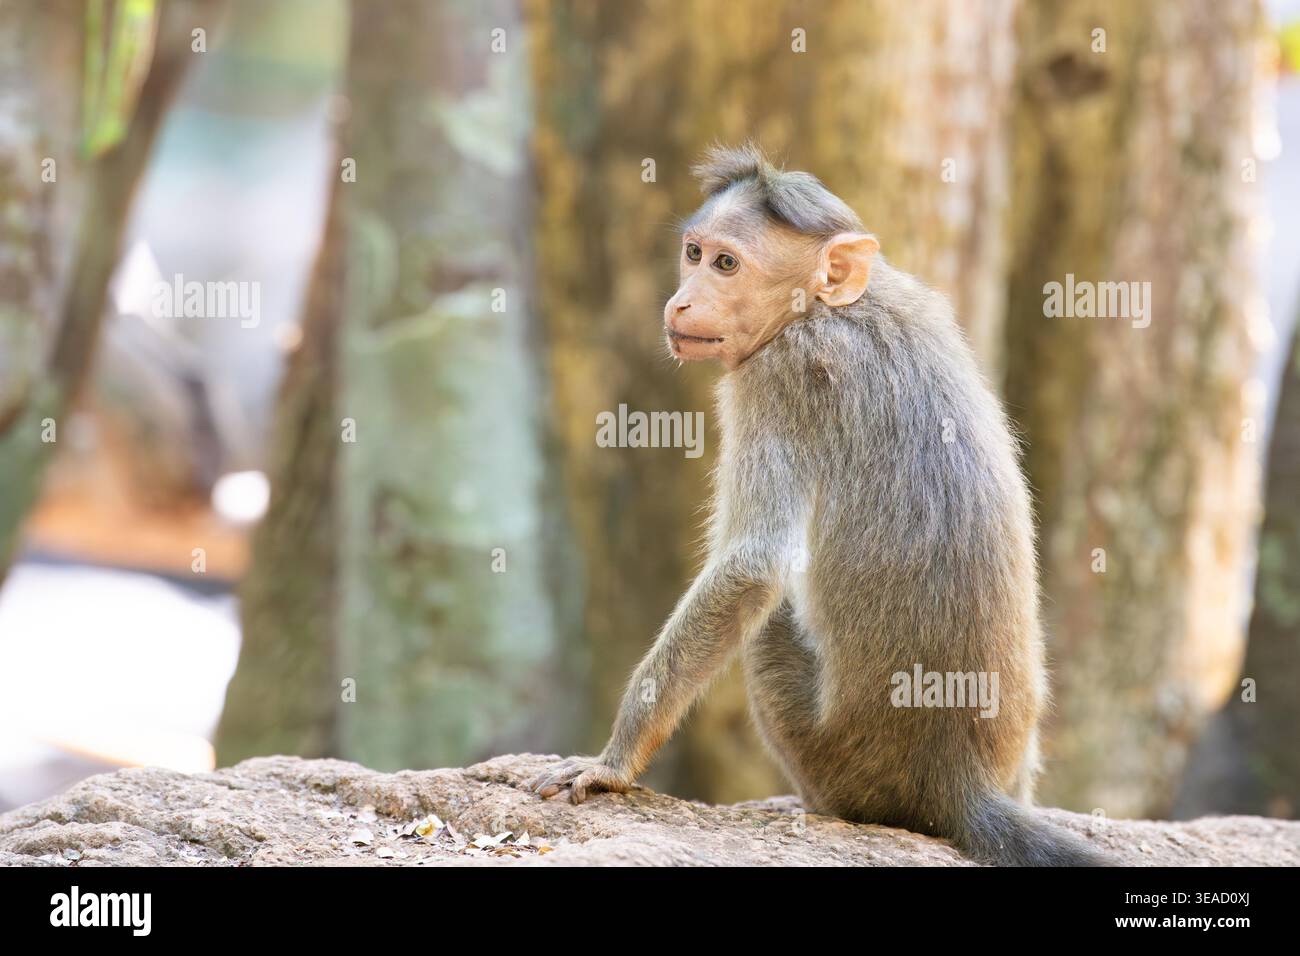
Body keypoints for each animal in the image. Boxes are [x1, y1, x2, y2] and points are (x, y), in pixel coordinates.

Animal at [531, 144, 1106, 866]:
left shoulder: (776, 380)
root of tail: (959, 780)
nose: (683, 300)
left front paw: (611, 763)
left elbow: (752, 569)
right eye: (693, 252)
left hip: (835, 754)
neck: (824, 309)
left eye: (726, 264)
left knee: (768, 623)